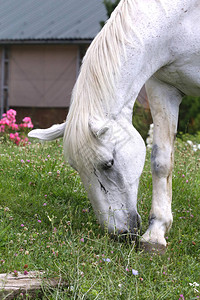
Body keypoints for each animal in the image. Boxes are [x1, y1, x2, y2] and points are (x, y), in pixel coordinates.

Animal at [28, 0, 200, 253]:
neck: (184, 19)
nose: (119, 234)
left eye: (108, 164)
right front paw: (156, 233)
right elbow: (161, 162)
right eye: (76, 169)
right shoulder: (163, 88)